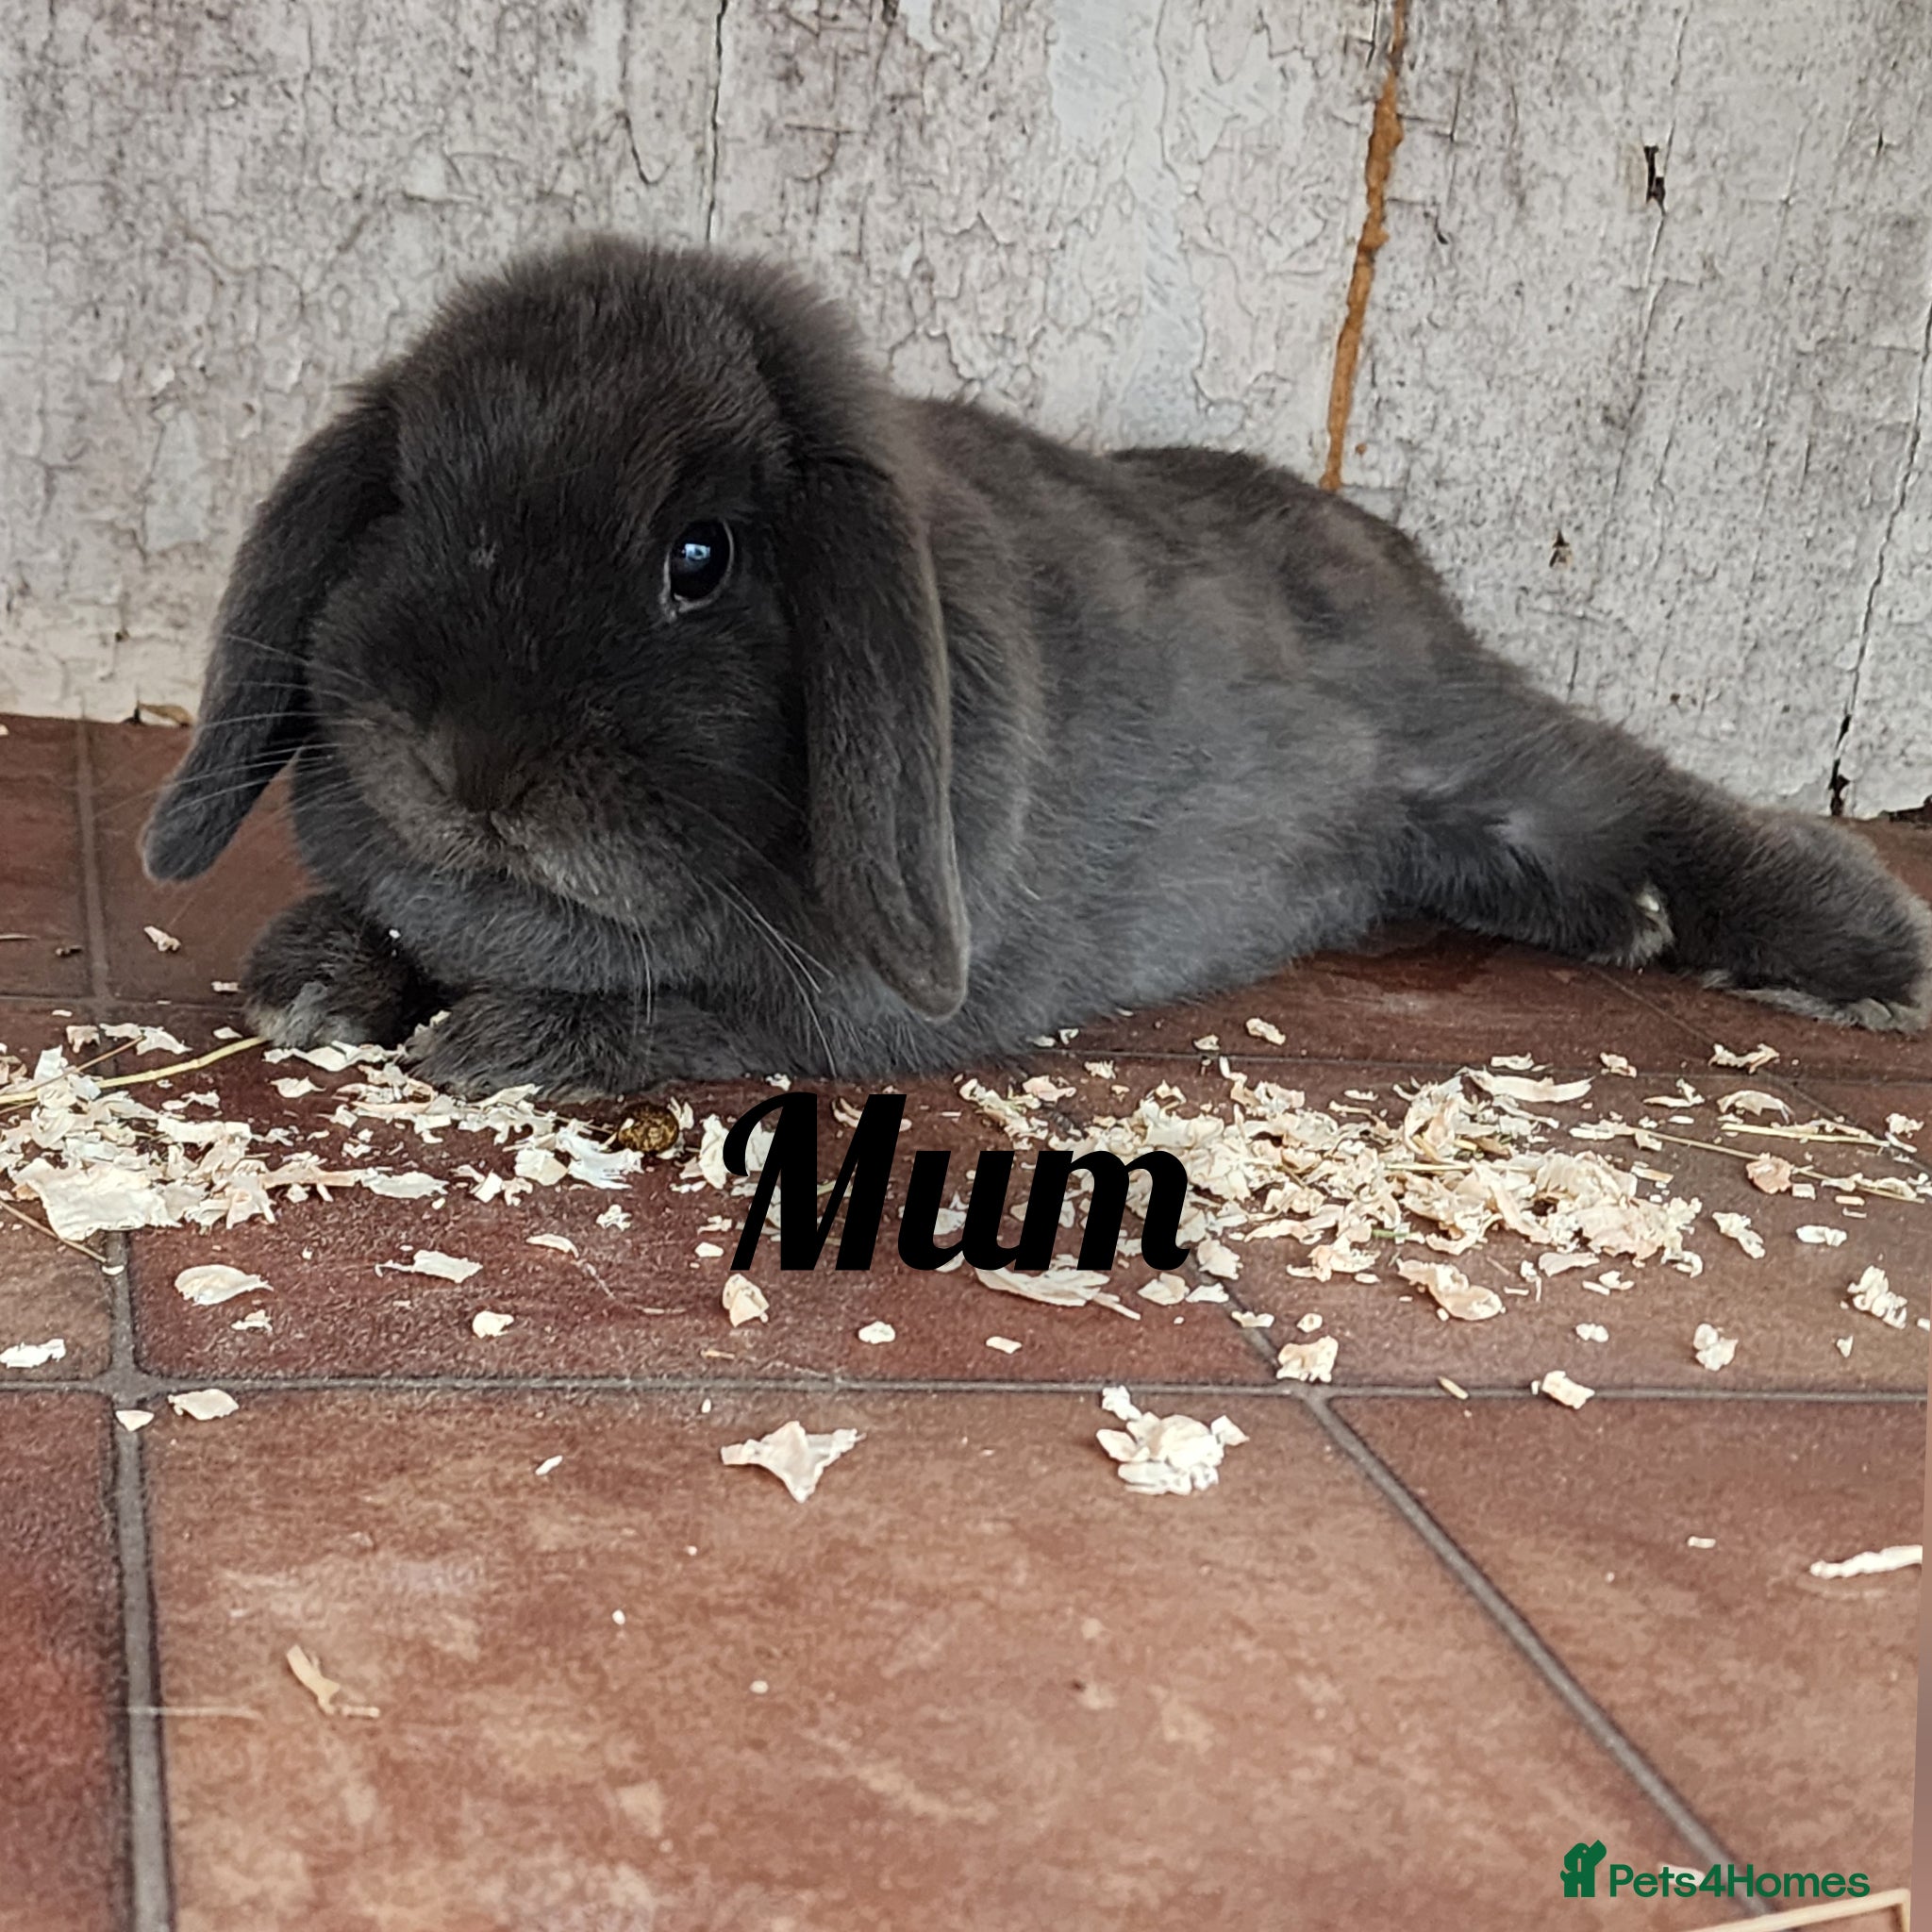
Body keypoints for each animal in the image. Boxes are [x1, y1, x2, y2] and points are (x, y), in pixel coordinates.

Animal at [143, 235, 1931, 1100]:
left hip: (1487, 757)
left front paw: (494, 1047)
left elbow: (682, 1008)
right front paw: (315, 972)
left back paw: (1867, 957)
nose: (472, 765)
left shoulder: (831, 1002)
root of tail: (1379, 539)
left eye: (698, 558)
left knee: (1651, 800)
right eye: (404, 503)